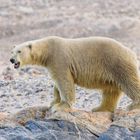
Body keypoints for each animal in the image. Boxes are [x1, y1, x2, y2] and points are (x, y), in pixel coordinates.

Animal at [9, 36, 140, 112]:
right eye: (12, 51)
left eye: (19, 51)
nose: (11, 60)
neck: (47, 49)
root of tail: (131, 52)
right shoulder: (52, 63)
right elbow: (56, 83)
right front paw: (53, 102)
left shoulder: (58, 58)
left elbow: (64, 81)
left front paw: (61, 105)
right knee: (111, 90)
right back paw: (99, 108)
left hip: (116, 62)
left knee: (129, 82)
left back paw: (133, 105)